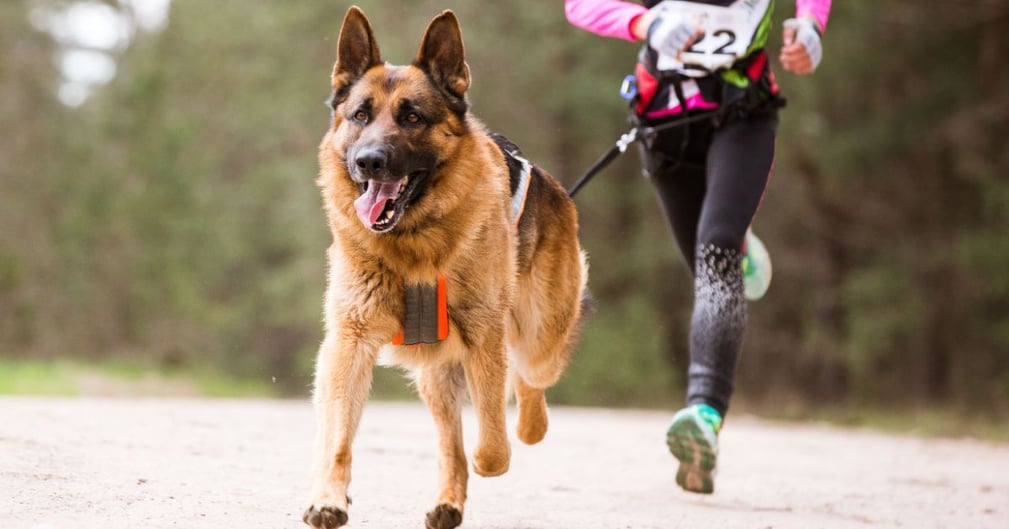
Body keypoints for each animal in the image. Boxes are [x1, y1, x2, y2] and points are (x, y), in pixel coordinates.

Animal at [302, 7, 589, 529]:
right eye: (360, 115)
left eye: (412, 117)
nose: (368, 161)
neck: (412, 245)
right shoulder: (349, 343)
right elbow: (337, 437)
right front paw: (330, 498)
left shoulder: (483, 339)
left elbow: (492, 447)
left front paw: (493, 453)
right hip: (436, 376)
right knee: (449, 439)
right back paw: (448, 500)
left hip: (538, 337)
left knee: (528, 382)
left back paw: (529, 427)